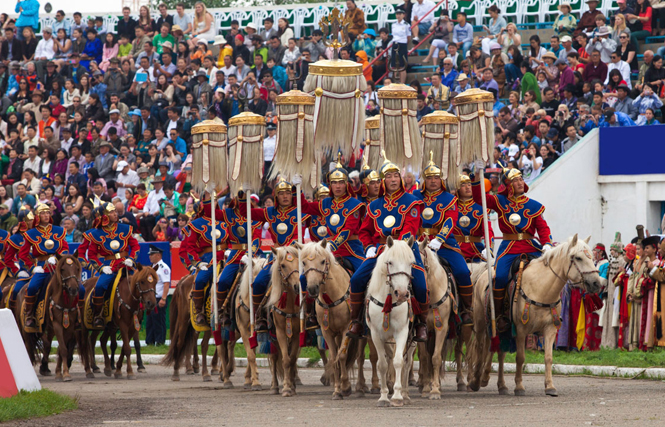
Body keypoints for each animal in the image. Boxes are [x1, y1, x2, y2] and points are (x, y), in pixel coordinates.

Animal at [302, 241, 358, 402]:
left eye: (322, 261)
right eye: (304, 262)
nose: (312, 288)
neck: (331, 297)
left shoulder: (347, 328)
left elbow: (342, 355)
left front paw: (346, 386)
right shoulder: (326, 331)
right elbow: (333, 358)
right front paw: (337, 390)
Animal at [366, 237, 418, 408]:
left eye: (411, 263)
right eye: (390, 262)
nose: (401, 294)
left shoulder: (402, 332)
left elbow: (398, 361)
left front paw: (397, 396)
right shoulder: (375, 334)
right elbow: (382, 364)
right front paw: (383, 397)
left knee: (407, 362)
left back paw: (405, 394)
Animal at [466, 236, 600, 396]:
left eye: (591, 257)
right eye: (578, 258)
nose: (596, 283)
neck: (541, 289)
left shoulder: (550, 329)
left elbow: (548, 358)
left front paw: (550, 386)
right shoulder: (521, 330)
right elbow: (520, 358)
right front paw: (519, 387)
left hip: (502, 329)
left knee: (498, 352)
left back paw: (499, 384)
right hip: (481, 323)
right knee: (480, 347)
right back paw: (475, 381)